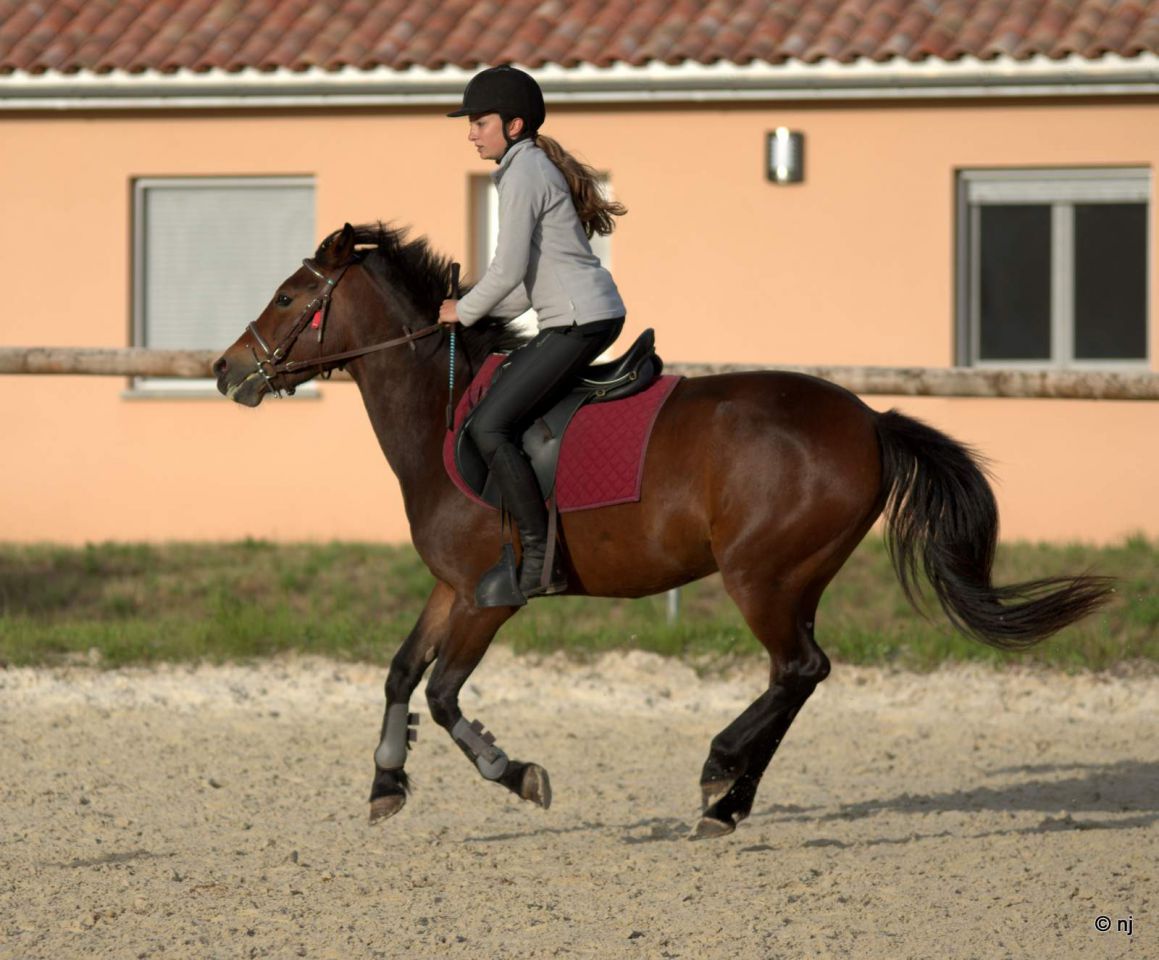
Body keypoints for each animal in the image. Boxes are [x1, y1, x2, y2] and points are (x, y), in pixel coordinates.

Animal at [214, 222, 1112, 839]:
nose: (226, 371)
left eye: (289, 297)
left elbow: (440, 694)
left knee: (799, 668)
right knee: (798, 675)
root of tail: (868, 420)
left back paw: (719, 775)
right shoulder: (451, 587)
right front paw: (385, 786)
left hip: (760, 575)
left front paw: (518, 773)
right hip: (795, 577)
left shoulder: (488, 597)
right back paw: (729, 801)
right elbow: (401, 674)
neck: (443, 415)